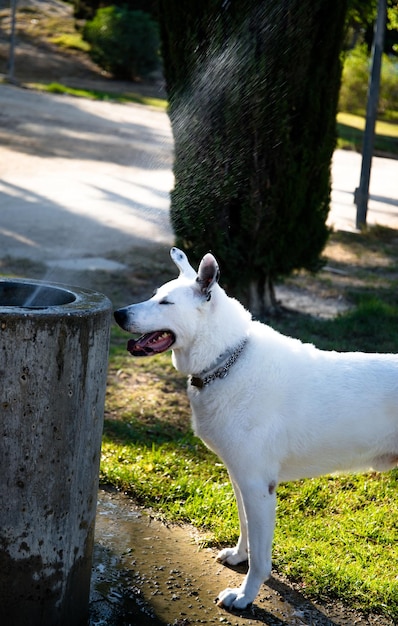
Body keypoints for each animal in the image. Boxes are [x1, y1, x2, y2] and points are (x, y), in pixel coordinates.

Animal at [114, 247, 398, 608]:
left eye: (165, 303)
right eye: (154, 296)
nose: (117, 314)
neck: (227, 360)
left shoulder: (258, 487)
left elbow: (261, 557)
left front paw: (245, 595)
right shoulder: (240, 478)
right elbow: (246, 528)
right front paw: (239, 557)